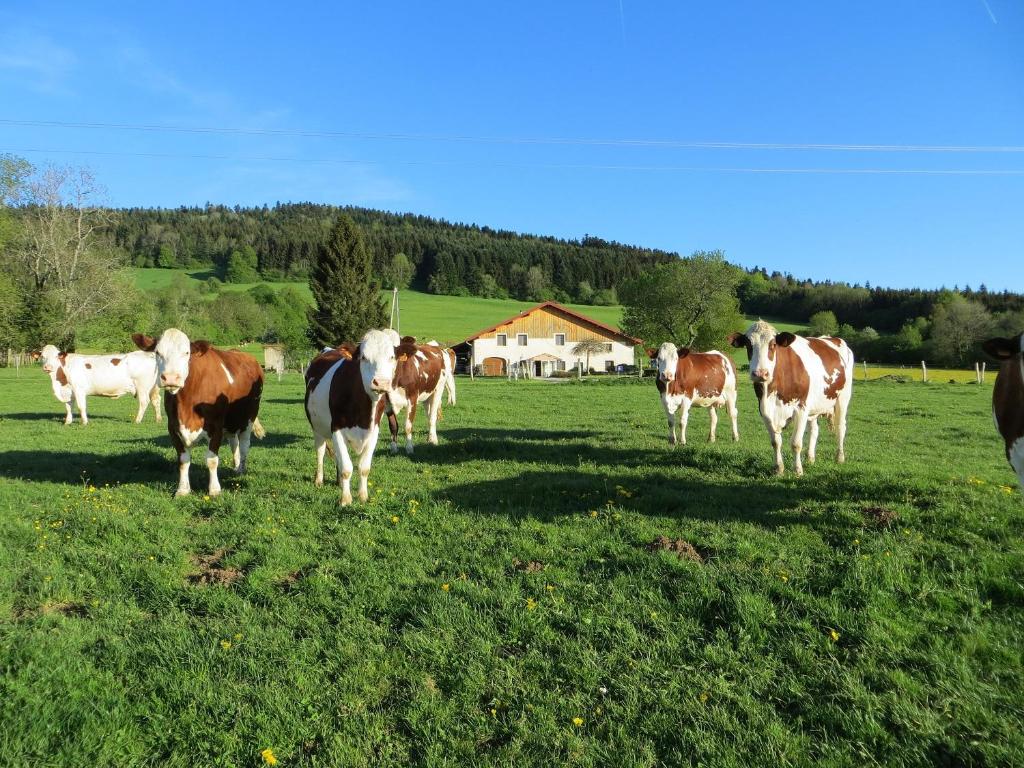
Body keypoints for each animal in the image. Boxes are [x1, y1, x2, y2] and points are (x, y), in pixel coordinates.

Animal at [133, 329, 264, 499]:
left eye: (187, 352)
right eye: (157, 352)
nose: (170, 378)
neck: (187, 404)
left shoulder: (216, 426)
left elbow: (212, 460)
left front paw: (214, 490)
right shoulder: (173, 427)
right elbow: (183, 460)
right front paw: (182, 489)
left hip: (248, 417)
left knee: (244, 445)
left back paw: (241, 469)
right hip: (231, 422)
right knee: (233, 443)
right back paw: (235, 466)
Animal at [301, 329, 397, 505]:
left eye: (391, 357)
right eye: (364, 357)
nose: (380, 383)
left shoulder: (374, 431)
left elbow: (364, 467)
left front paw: (363, 496)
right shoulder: (337, 429)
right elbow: (347, 468)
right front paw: (345, 500)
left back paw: (338, 481)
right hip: (317, 428)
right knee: (320, 452)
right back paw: (319, 480)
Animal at [729, 319, 856, 475]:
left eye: (773, 344)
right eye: (748, 344)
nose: (760, 373)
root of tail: (831, 338)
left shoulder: (801, 408)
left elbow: (796, 443)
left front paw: (798, 470)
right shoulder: (764, 410)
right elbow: (775, 442)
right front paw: (778, 468)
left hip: (843, 398)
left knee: (840, 426)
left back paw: (839, 457)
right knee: (814, 430)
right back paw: (810, 458)